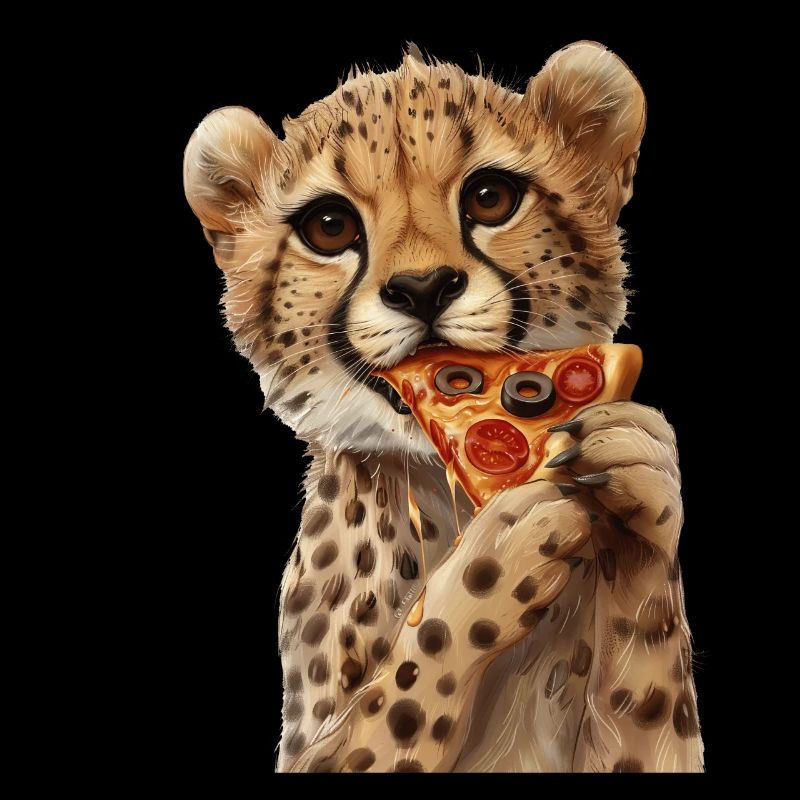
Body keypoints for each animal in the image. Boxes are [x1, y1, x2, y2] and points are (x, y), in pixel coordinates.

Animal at [184, 41, 703, 772]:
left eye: (490, 198)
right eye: (329, 226)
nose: (423, 287)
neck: (447, 490)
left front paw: (641, 469)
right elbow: (405, 680)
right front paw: (500, 551)